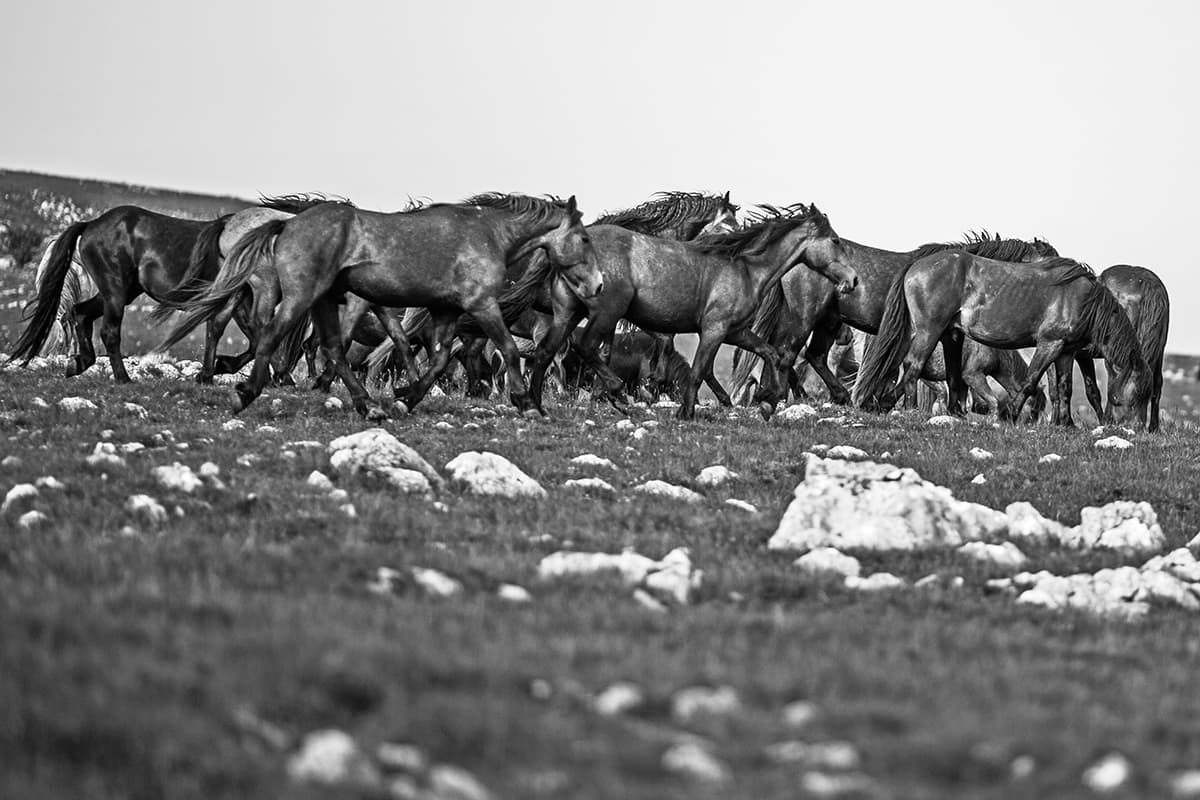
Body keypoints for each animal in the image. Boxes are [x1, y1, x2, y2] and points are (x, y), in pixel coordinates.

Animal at [156, 193, 602, 418]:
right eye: (584, 239)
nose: (598, 285)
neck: (490, 235)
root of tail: (286, 223)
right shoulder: (481, 305)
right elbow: (507, 349)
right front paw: (528, 404)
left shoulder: (447, 311)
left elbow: (438, 359)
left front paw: (406, 397)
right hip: (301, 296)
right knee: (272, 335)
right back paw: (244, 392)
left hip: (323, 301)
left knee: (331, 349)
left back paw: (367, 406)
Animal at [522, 203, 860, 420]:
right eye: (835, 240)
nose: (853, 280)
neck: (745, 269)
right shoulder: (714, 330)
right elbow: (700, 370)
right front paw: (686, 413)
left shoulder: (735, 332)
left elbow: (771, 354)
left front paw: (767, 402)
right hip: (606, 313)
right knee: (585, 347)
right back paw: (617, 395)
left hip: (567, 313)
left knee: (545, 353)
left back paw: (535, 405)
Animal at [729, 232, 1058, 408]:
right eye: (1050, 261)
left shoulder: (945, 335)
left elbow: (950, 375)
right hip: (807, 314)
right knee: (788, 352)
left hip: (827, 320)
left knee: (812, 356)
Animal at [853, 253, 1152, 427]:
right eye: (1136, 394)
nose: (1136, 430)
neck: (1083, 298)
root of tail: (915, 265)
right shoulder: (1049, 344)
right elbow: (1030, 382)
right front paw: (1010, 416)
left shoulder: (1066, 351)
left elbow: (1065, 387)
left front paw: (1065, 425)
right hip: (930, 330)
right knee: (912, 365)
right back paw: (909, 408)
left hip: (949, 335)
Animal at [1048, 264, 1169, 431]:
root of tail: (1146, 283)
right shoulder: (1082, 355)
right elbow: (1091, 389)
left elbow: (1056, 387)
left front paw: (1057, 422)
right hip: (1158, 352)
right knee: (1157, 383)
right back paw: (1153, 427)